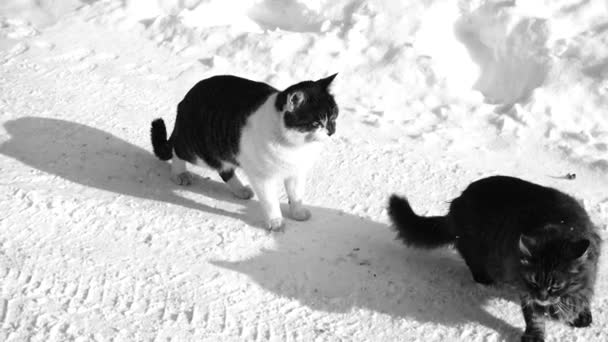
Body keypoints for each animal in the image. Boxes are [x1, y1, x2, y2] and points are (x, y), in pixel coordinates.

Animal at [147, 73, 338, 231]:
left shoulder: (296, 172)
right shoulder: (262, 177)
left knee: (224, 170)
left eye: (333, 117)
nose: (331, 131)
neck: (296, 146)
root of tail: (186, 100)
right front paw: (275, 221)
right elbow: (270, 200)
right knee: (177, 150)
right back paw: (179, 174)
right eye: (316, 123)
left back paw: (240, 190)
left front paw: (297, 212)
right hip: (199, 149)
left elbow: (296, 194)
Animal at [388, 176, 600, 342]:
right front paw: (534, 335)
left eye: (556, 285)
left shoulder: (589, 272)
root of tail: (457, 204)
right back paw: (485, 278)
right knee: (473, 262)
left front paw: (581, 313)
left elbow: (584, 294)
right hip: (475, 247)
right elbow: (534, 317)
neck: (559, 225)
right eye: (533, 281)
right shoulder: (524, 287)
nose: (541, 297)